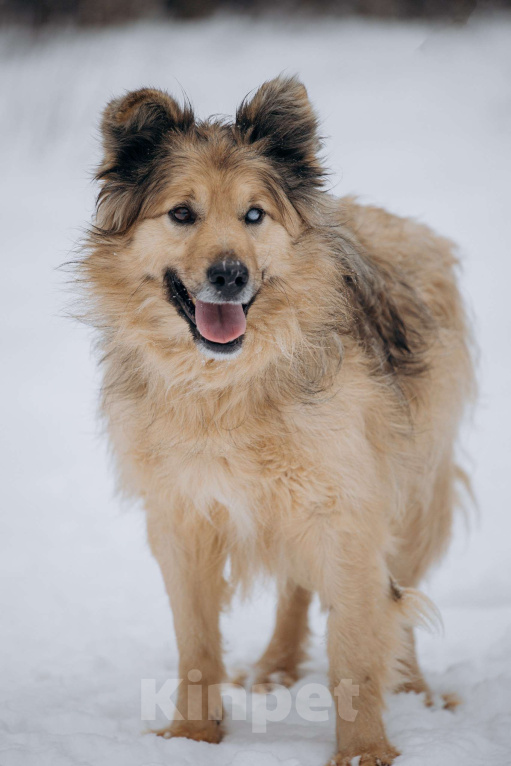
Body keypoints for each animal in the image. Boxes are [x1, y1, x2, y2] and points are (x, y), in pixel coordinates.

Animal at [81, 73, 476, 766]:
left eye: (254, 215)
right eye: (181, 213)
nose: (229, 274)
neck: (230, 381)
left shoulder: (347, 507)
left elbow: (359, 643)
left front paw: (366, 750)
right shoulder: (184, 515)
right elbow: (196, 643)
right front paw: (193, 737)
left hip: (410, 489)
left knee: (398, 593)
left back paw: (416, 692)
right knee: (297, 588)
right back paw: (277, 668)